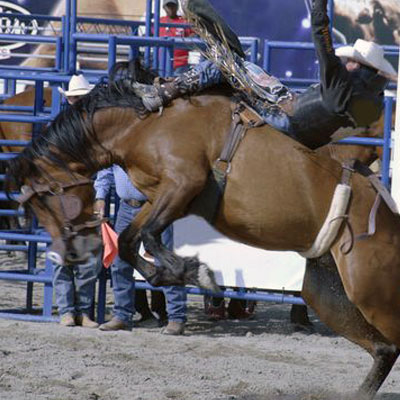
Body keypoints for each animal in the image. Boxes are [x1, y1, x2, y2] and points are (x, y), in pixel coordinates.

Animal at [4, 61, 400, 398]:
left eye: (47, 198)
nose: (70, 254)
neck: (141, 124)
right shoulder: (159, 196)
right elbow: (131, 241)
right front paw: (172, 274)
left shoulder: (182, 184)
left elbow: (149, 237)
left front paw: (196, 272)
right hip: (328, 293)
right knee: (385, 348)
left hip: (370, 292)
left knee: (390, 342)